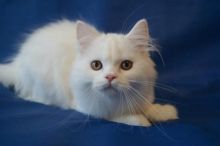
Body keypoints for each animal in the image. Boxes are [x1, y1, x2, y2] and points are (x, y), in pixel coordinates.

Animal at [0, 18, 177, 126]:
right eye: (96, 65)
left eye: (126, 65)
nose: (110, 77)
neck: (115, 100)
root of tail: (17, 63)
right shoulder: (86, 107)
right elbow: (114, 115)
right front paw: (140, 120)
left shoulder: (140, 96)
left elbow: (147, 107)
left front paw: (164, 112)